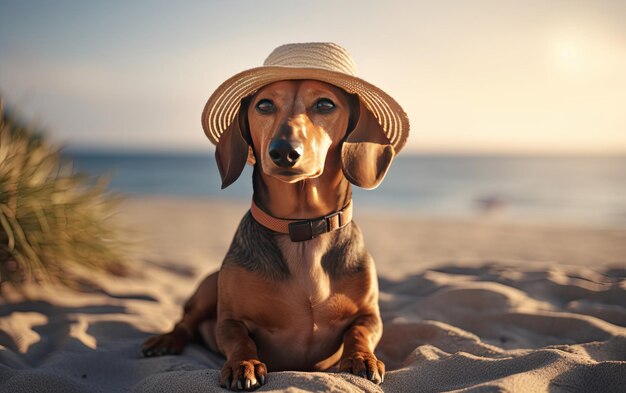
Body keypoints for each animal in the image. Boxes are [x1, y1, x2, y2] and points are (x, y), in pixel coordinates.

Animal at [140, 41, 408, 390]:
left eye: (325, 103)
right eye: (265, 105)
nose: (283, 151)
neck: (302, 230)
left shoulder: (369, 314)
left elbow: (360, 331)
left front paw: (361, 357)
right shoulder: (230, 319)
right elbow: (239, 338)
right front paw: (244, 364)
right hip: (208, 287)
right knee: (185, 322)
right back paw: (165, 341)